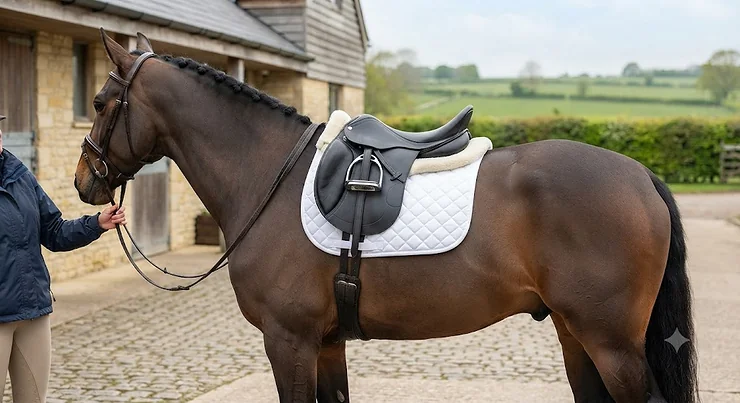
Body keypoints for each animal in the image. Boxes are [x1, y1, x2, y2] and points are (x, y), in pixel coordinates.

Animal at [73, 29, 697, 403]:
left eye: (101, 102)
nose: (84, 181)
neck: (268, 172)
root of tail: (639, 175)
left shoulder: (289, 341)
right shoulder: (326, 344)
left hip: (611, 342)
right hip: (576, 334)